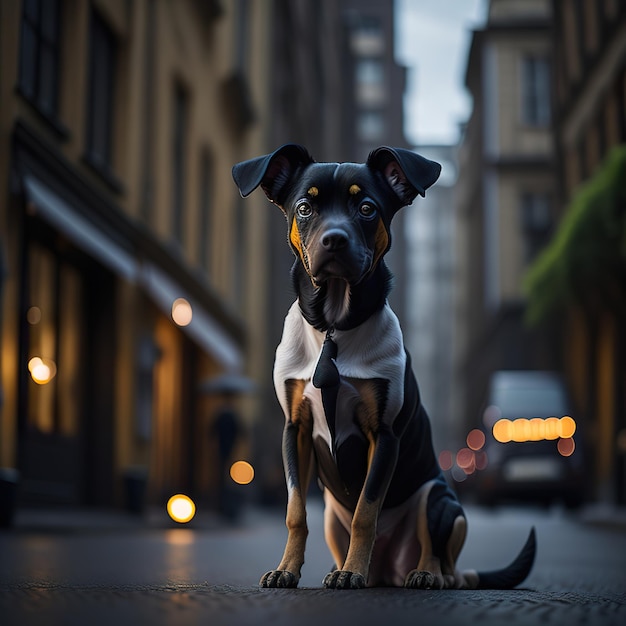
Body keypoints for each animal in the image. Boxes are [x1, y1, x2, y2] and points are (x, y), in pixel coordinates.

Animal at [232, 144, 532, 588]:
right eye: (304, 207)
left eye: (367, 208)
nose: (334, 239)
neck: (334, 326)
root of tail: (390, 570)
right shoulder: (295, 428)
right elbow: (295, 512)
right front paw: (287, 569)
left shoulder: (384, 434)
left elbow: (367, 512)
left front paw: (352, 572)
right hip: (332, 516)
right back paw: (347, 568)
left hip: (441, 500)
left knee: (439, 553)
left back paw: (421, 574)